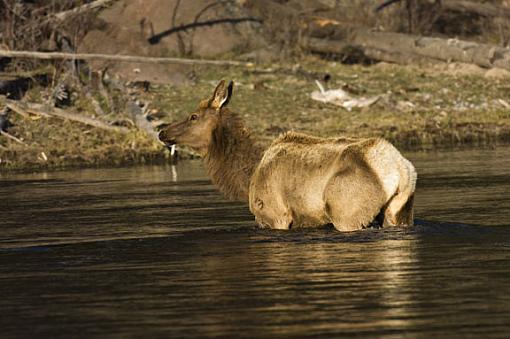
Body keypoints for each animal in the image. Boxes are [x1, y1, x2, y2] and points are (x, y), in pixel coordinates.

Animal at [159, 81, 418, 232]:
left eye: (193, 116)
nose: (163, 131)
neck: (247, 180)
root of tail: (398, 170)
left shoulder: (274, 215)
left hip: (348, 211)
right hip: (400, 211)